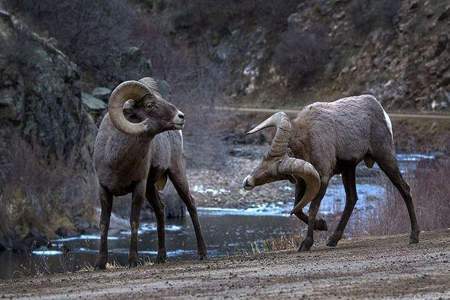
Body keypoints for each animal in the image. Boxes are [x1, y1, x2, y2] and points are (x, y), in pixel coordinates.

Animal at [96, 77, 208, 270]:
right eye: (149, 105)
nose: (181, 116)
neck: (116, 159)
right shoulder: (104, 189)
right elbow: (104, 224)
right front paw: (100, 264)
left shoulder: (138, 187)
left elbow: (134, 221)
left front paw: (133, 261)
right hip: (151, 188)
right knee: (160, 210)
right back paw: (160, 258)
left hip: (176, 173)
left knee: (191, 204)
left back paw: (202, 254)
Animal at [243, 95, 418, 251]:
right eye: (263, 159)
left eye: (275, 173)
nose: (247, 182)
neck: (308, 138)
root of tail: (380, 110)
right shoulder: (303, 182)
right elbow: (297, 209)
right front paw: (322, 225)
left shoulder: (322, 179)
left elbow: (312, 208)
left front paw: (306, 243)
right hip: (349, 170)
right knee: (352, 198)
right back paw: (333, 240)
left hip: (385, 159)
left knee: (405, 189)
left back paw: (414, 236)